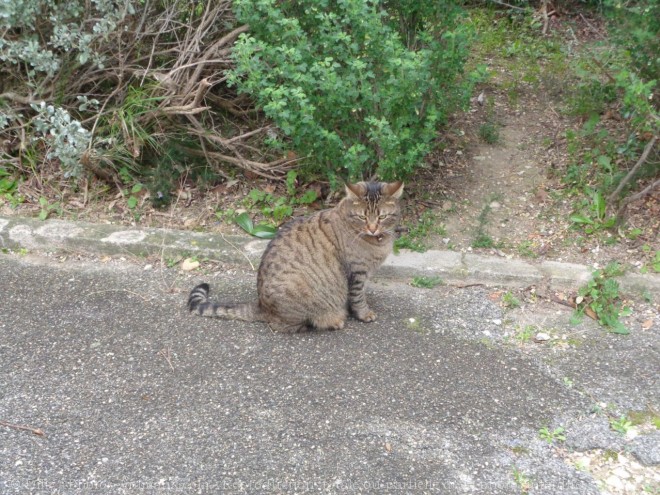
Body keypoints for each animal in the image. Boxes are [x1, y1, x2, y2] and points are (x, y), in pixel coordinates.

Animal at [186, 182, 402, 334]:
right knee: (281, 326)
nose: (372, 228)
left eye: (382, 217)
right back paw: (328, 322)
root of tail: (261, 305)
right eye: (362, 217)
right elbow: (357, 297)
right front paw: (364, 313)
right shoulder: (356, 273)